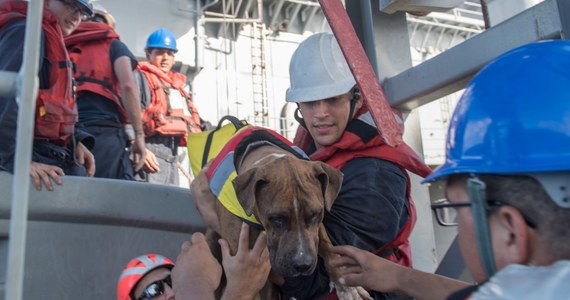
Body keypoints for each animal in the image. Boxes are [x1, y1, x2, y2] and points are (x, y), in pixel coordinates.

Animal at [191, 129, 368, 300]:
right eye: (276, 218)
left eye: (315, 214)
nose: (302, 264)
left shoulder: (318, 225)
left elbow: (330, 249)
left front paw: (345, 286)